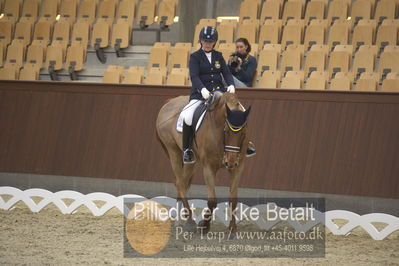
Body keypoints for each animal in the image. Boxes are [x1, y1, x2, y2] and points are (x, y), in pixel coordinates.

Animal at [155, 92, 252, 237]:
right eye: (226, 131)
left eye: (243, 133)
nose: (230, 162)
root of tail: (169, 102)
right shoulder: (209, 167)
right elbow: (212, 201)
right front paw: (204, 225)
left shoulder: (238, 168)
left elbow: (233, 200)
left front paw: (233, 229)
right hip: (173, 151)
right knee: (180, 183)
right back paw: (190, 222)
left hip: (191, 161)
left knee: (182, 183)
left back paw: (179, 221)